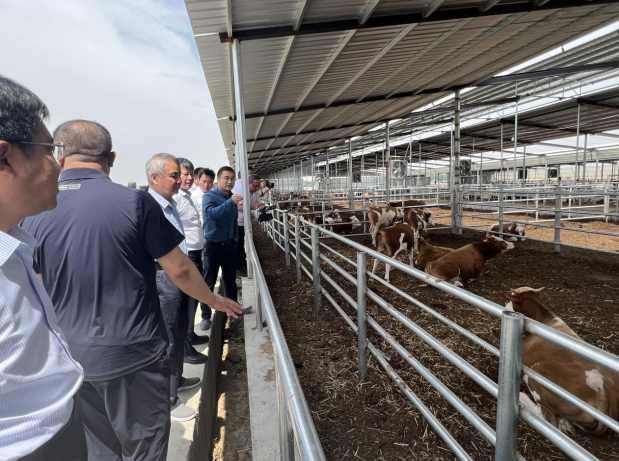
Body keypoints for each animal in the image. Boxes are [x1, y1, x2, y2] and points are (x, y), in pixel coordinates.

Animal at [504, 288, 619, 434]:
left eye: (511, 298)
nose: (505, 305)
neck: (544, 318)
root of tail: (603, 395)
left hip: (536, 372)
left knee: (547, 418)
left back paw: (521, 397)